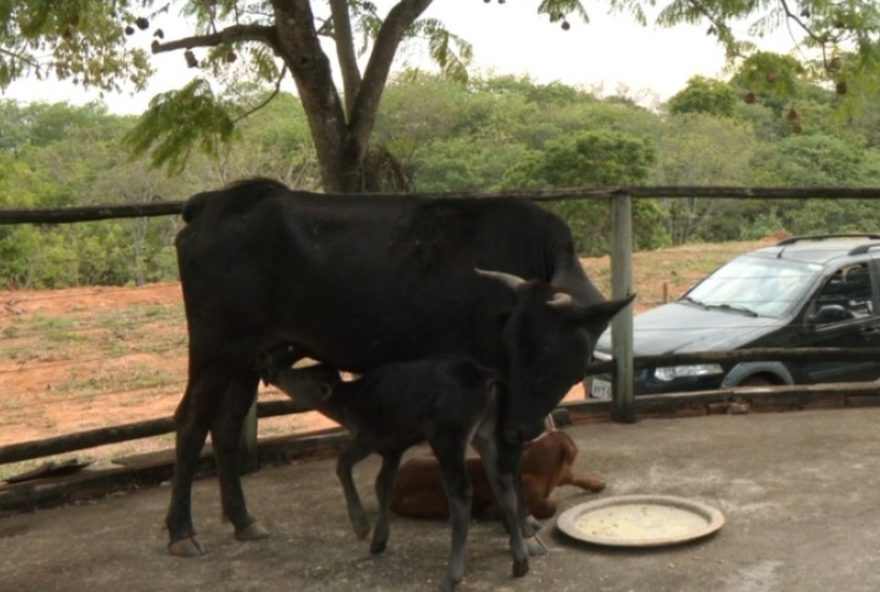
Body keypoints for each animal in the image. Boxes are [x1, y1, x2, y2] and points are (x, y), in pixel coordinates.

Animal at [168, 178, 632, 557]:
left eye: (545, 350)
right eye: (513, 345)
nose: (522, 426)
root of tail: (217, 202)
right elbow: (504, 455)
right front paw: (522, 527)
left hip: (246, 356)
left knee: (226, 426)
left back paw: (243, 520)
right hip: (214, 346)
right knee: (191, 421)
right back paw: (181, 532)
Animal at [258, 349, 525, 591]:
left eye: (298, 375)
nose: (272, 369)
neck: (349, 403)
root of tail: (483, 374)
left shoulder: (369, 435)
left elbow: (343, 464)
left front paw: (361, 526)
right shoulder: (393, 448)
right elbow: (383, 485)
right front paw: (379, 541)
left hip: (447, 434)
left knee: (461, 491)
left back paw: (452, 576)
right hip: (485, 430)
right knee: (502, 480)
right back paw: (520, 562)